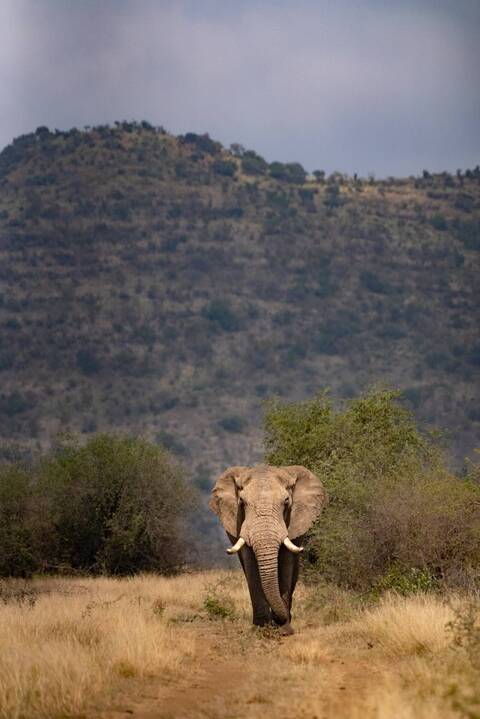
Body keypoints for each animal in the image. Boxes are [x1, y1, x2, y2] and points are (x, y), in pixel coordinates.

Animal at [209, 464, 326, 632]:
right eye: (241, 502)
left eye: (286, 502)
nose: (278, 620)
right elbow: (251, 565)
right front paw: (262, 628)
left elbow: (286, 562)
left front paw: (284, 630)